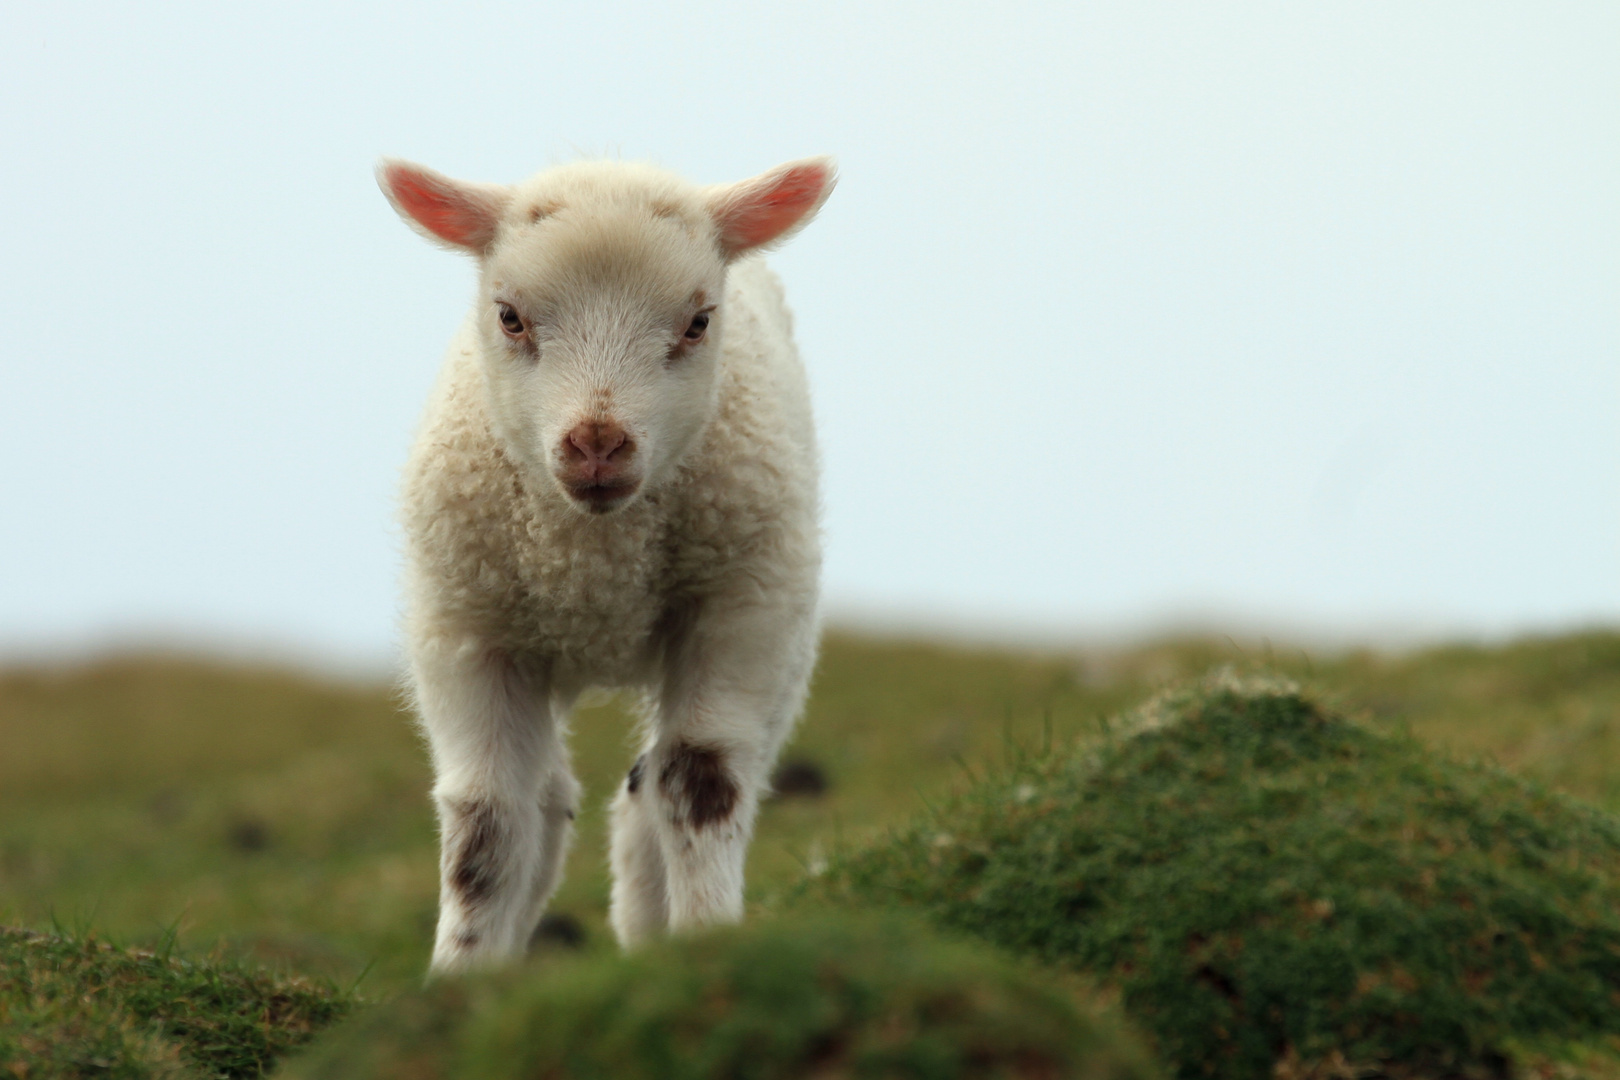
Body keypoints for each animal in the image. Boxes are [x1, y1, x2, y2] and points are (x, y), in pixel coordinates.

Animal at [379, 153, 835, 977]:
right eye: (510, 316)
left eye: (698, 321)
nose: (597, 444)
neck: (594, 561)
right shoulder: (468, 634)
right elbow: (485, 819)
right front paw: (460, 975)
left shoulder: (738, 612)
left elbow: (701, 780)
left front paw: (707, 940)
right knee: (548, 798)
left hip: (784, 630)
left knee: (654, 789)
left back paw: (647, 928)